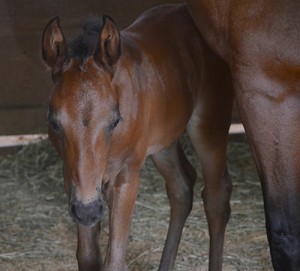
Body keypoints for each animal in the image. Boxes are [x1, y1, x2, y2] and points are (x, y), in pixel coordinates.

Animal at [42, 3, 234, 271]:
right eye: (54, 122)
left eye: (114, 120)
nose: (88, 211)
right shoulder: (73, 179)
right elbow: (88, 256)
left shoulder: (126, 177)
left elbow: (114, 260)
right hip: (163, 142)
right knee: (182, 187)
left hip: (209, 126)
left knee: (217, 198)